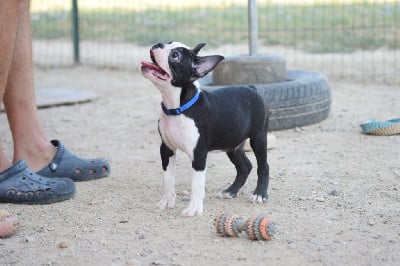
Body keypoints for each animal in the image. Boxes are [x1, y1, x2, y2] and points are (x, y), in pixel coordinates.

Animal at [140, 42, 268, 216]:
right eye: (167, 43)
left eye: (175, 56)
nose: (157, 44)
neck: (178, 108)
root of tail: (252, 88)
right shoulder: (166, 148)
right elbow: (168, 178)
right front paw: (167, 202)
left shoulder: (199, 154)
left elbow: (197, 183)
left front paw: (194, 208)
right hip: (231, 144)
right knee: (245, 167)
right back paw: (230, 191)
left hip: (258, 138)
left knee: (263, 166)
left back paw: (259, 194)